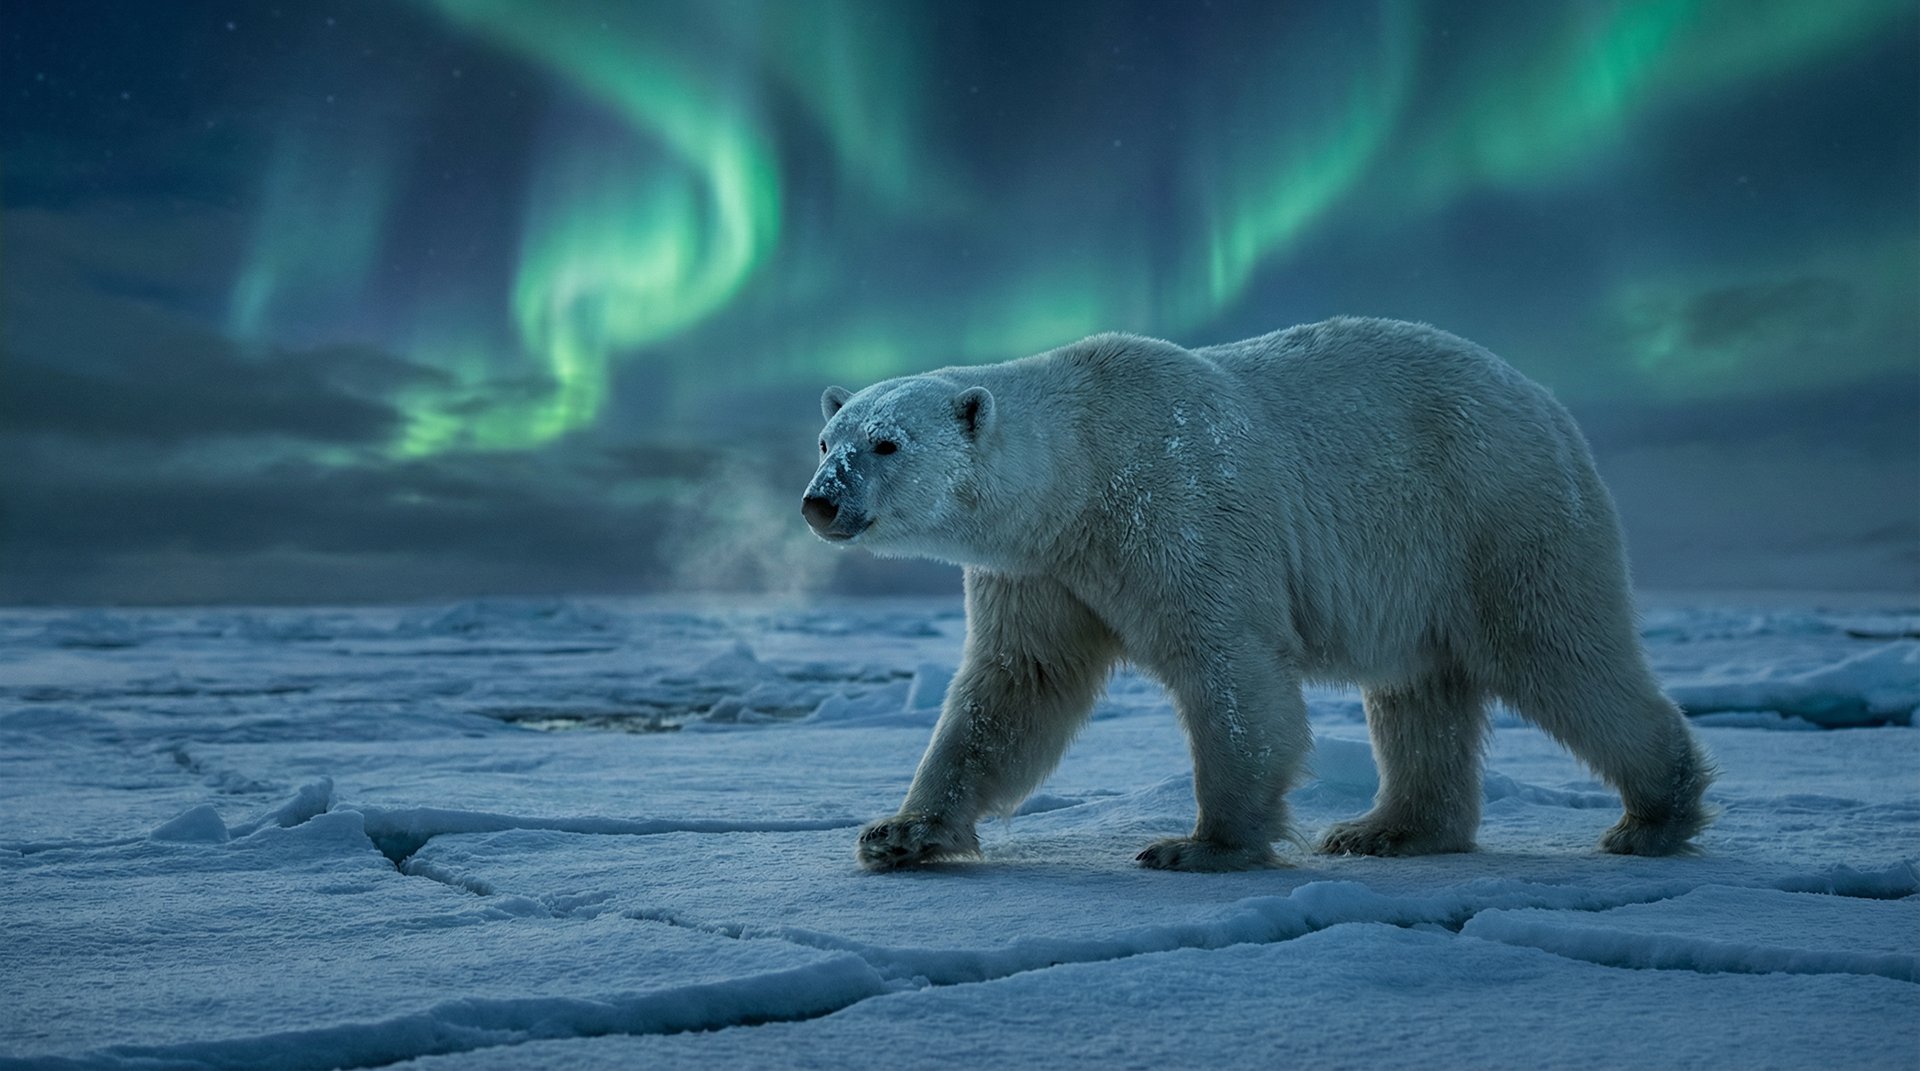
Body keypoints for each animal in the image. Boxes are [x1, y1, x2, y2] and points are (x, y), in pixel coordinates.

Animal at [802, 317, 1713, 872]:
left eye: (887, 443)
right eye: (827, 437)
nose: (821, 500)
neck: (1082, 469)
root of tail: (1547, 403)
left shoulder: (1177, 504)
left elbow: (1227, 666)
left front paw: (1199, 844)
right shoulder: (1041, 570)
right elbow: (1016, 687)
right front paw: (898, 831)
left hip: (1496, 514)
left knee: (1560, 653)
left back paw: (1654, 816)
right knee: (1420, 694)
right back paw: (1389, 829)